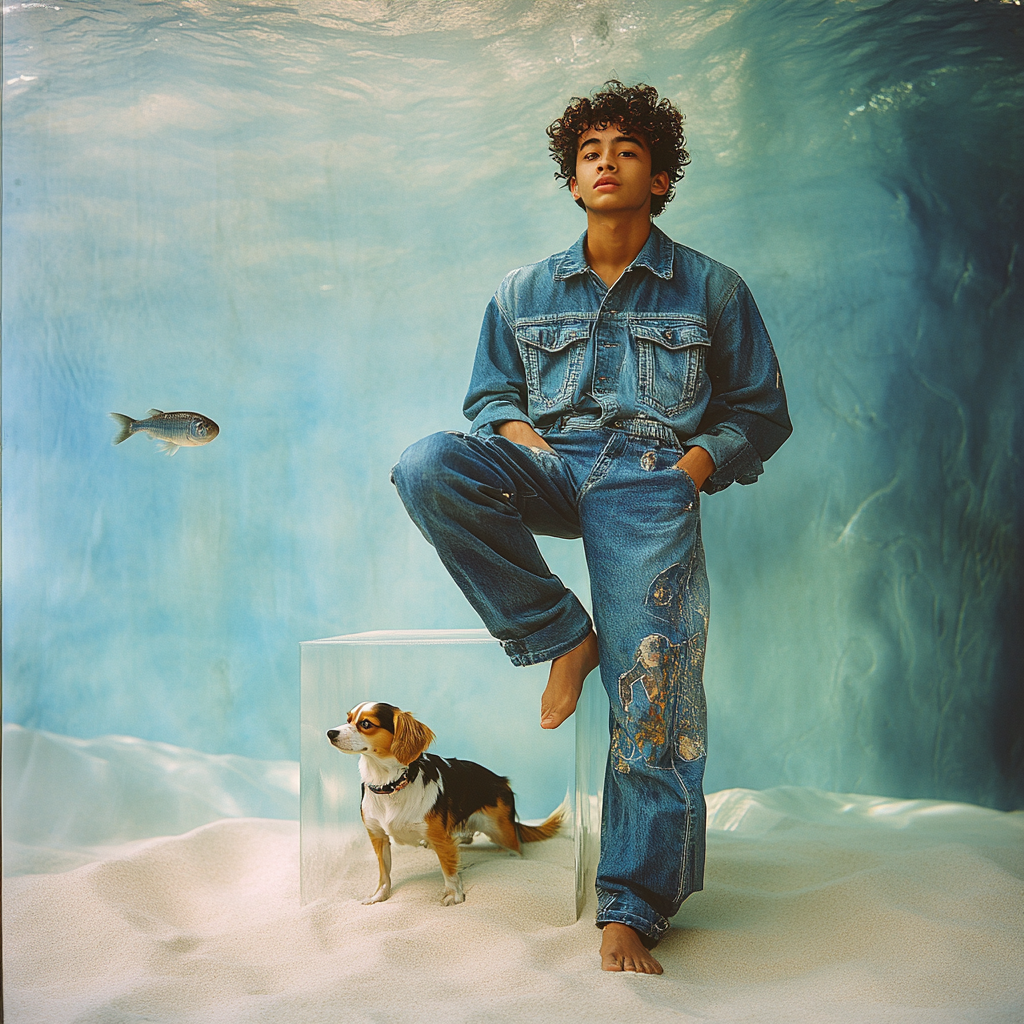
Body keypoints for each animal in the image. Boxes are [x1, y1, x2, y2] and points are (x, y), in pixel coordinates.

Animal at [327, 700, 565, 909]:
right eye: (348, 719)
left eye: (366, 724)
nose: (330, 732)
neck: (390, 785)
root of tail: (501, 780)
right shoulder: (378, 837)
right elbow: (384, 872)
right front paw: (379, 895)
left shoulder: (441, 838)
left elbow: (448, 868)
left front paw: (453, 895)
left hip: (500, 830)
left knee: (515, 848)